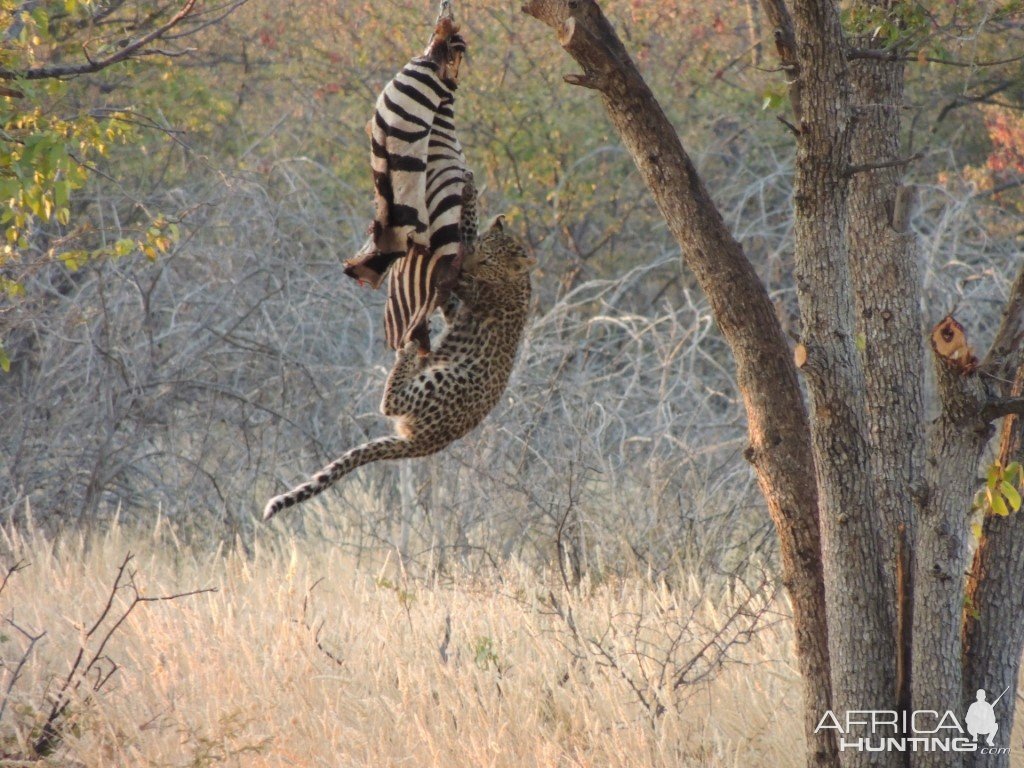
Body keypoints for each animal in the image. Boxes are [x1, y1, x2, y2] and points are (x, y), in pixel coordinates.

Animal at [262, 215, 536, 524]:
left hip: (447, 378)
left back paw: (408, 350)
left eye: (488, 261)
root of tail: (423, 443)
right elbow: (450, 300)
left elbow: (456, 285)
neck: (519, 280)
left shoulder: (474, 293)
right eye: (477, 247)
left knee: (390, 404)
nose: (466, 262)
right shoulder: (458, 310)